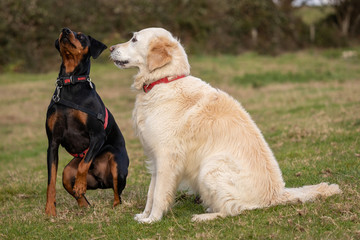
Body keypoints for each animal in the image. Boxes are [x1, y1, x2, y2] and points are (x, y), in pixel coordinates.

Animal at [45, 27, 129, 216]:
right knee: (71, 184)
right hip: (68, 172)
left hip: (117, 163)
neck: (70, 84)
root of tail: (101, 182)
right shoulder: (52, 143)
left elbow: (84, 164)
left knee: (118, 195)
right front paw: (49, 210)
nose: (65, 30)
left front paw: (80, 185)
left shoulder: (97, 136)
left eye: (81, 36)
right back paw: (84, 205)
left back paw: (113, 207)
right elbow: (51, 180)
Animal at [109, 27, 340, 223]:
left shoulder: (167, 156)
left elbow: (158, 194)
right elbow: (151, 192)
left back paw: (205, 216)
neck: (165, 80)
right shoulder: (155, 158)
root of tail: (276, 195)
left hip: (211, 167)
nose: (110, 48)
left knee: (236, 209)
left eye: (134, 39)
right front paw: (144, 216)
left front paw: (153, 219)